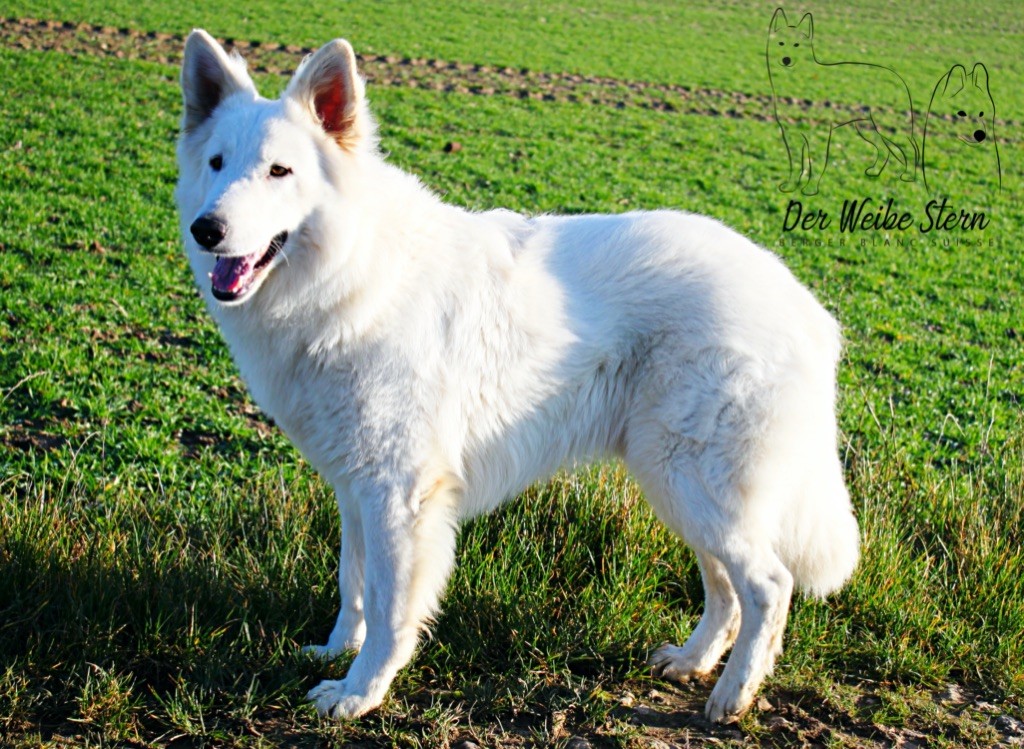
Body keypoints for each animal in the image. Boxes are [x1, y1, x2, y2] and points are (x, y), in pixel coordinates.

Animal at [175, 30, 859, 724]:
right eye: (217, 163)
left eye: (279, 171)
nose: (207, 230)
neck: (353, 274)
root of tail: (805, 306)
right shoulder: (356, 487)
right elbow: (353, 584)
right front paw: (335, 653)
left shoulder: (400, 495)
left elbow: (392, 608)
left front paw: (361, 693)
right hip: (679, 488)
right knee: (725, 588)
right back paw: (692, 663)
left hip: (693, 480)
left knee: (769, 586)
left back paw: (732, 696)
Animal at [767, 8, 919, 195]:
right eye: (781, 43)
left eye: (797, 45)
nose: (786, 60)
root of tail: (898, 78)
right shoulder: (790, 133)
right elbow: (794, 164)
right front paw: (790, 186)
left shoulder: (821, 132)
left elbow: (815, 164)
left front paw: (811, 189)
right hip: (866, 129)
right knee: (884, 149)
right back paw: (875, 172)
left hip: (890, 129)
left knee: (912, 147)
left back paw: (909, 176)